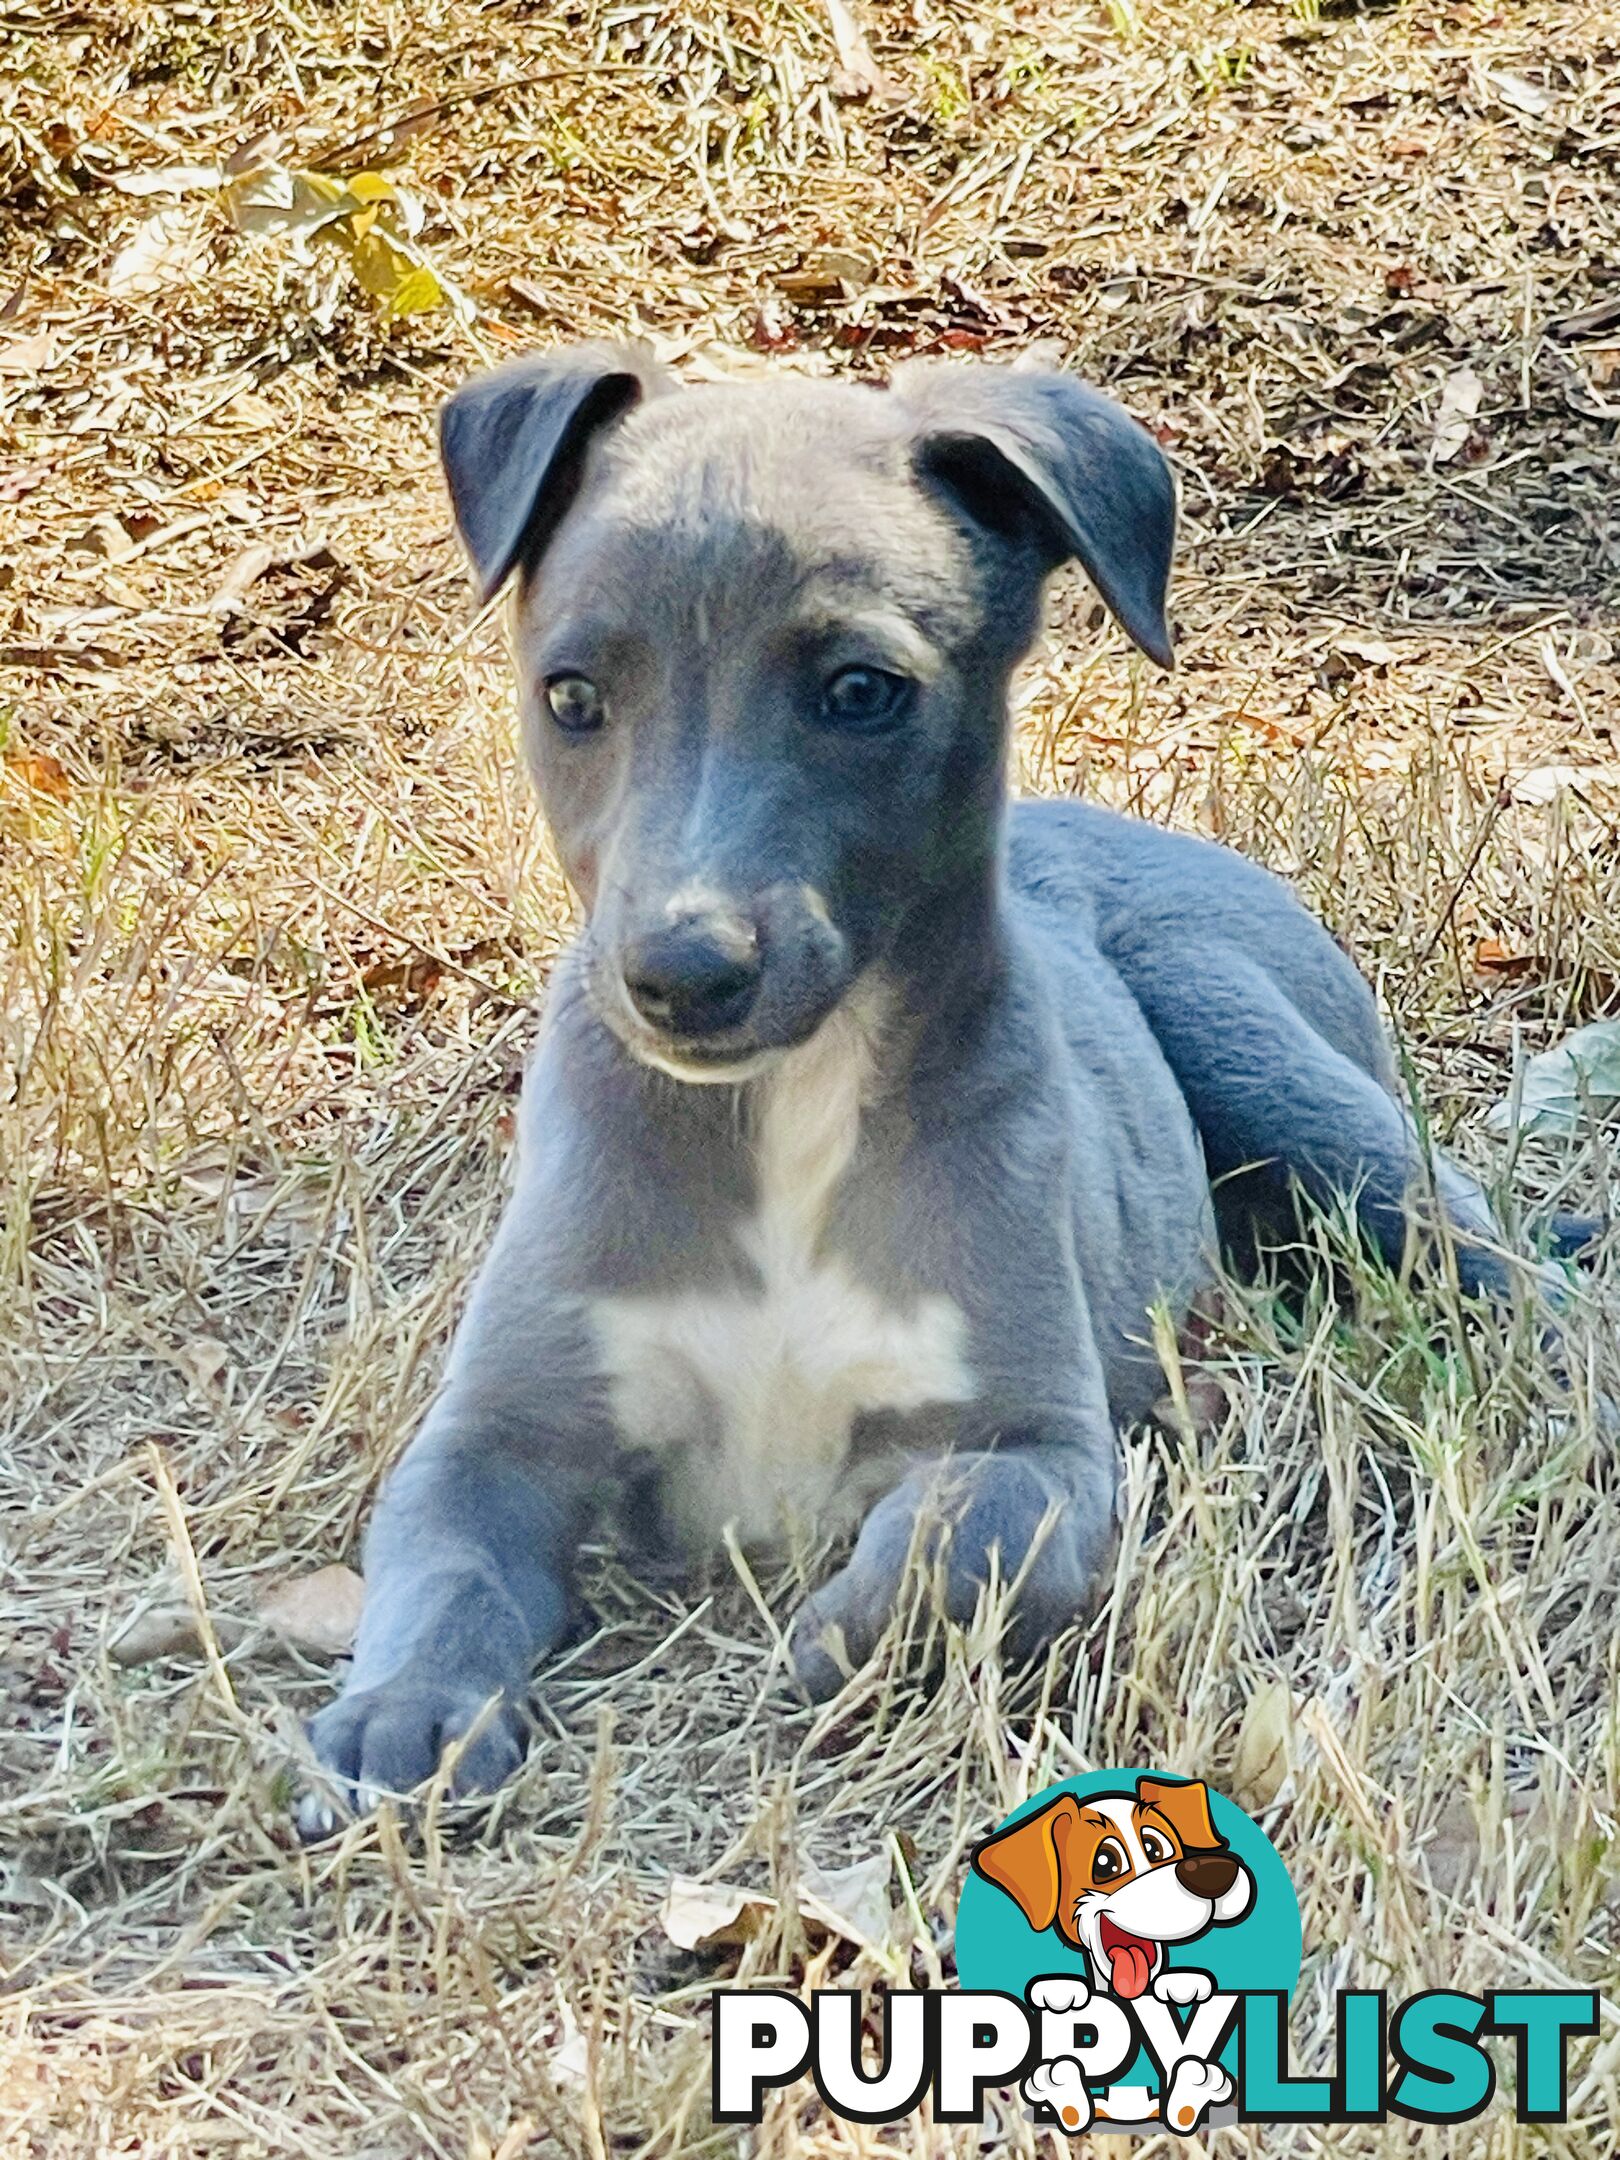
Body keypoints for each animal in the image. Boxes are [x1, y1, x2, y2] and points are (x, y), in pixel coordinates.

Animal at [302, 349, 1546, 1823]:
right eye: (570, 697)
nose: (680, 975)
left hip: (1276, 1072)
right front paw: (403, 1718)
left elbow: (959, 1540)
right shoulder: (497, 1435)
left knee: (1493, 1253)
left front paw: (839, 1631)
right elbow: (443, 1567)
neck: (787, 1116)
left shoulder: (1035, 1444)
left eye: (861, 690)